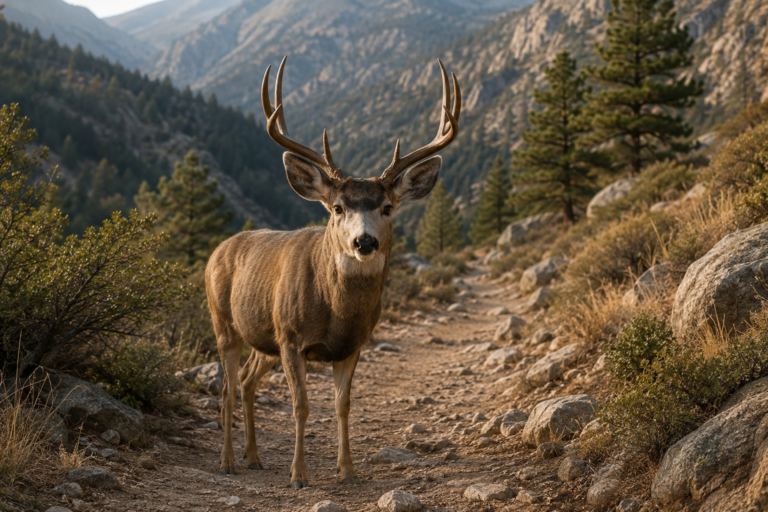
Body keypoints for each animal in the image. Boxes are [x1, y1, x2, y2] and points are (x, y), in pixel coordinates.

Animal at [205, 55, 461, 488]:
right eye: (338, 207)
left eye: (387, 207)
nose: (364, 242)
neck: (335, 311)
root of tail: (217, 251)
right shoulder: (292, 337)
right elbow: (302, 406)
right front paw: (299, 475)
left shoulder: (353, 345)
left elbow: (343, 405)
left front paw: (348, 470)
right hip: (225, 323)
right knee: (226, 389)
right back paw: (226, 461)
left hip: (264, 338)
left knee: (247, 381)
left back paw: (254, 457)